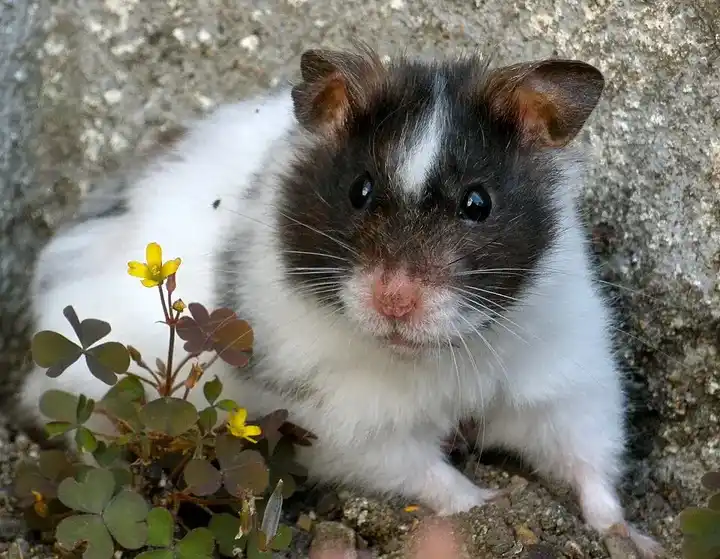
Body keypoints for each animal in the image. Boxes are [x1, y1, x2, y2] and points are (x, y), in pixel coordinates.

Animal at [19, 46, 660, 556]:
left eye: (477, 203)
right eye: (360, 191)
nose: (395, 300)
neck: (441, 355)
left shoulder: (569, 378)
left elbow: (590, 465)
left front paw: (632, 538)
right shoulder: (349, 426)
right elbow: (429, 474)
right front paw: (491, 504)